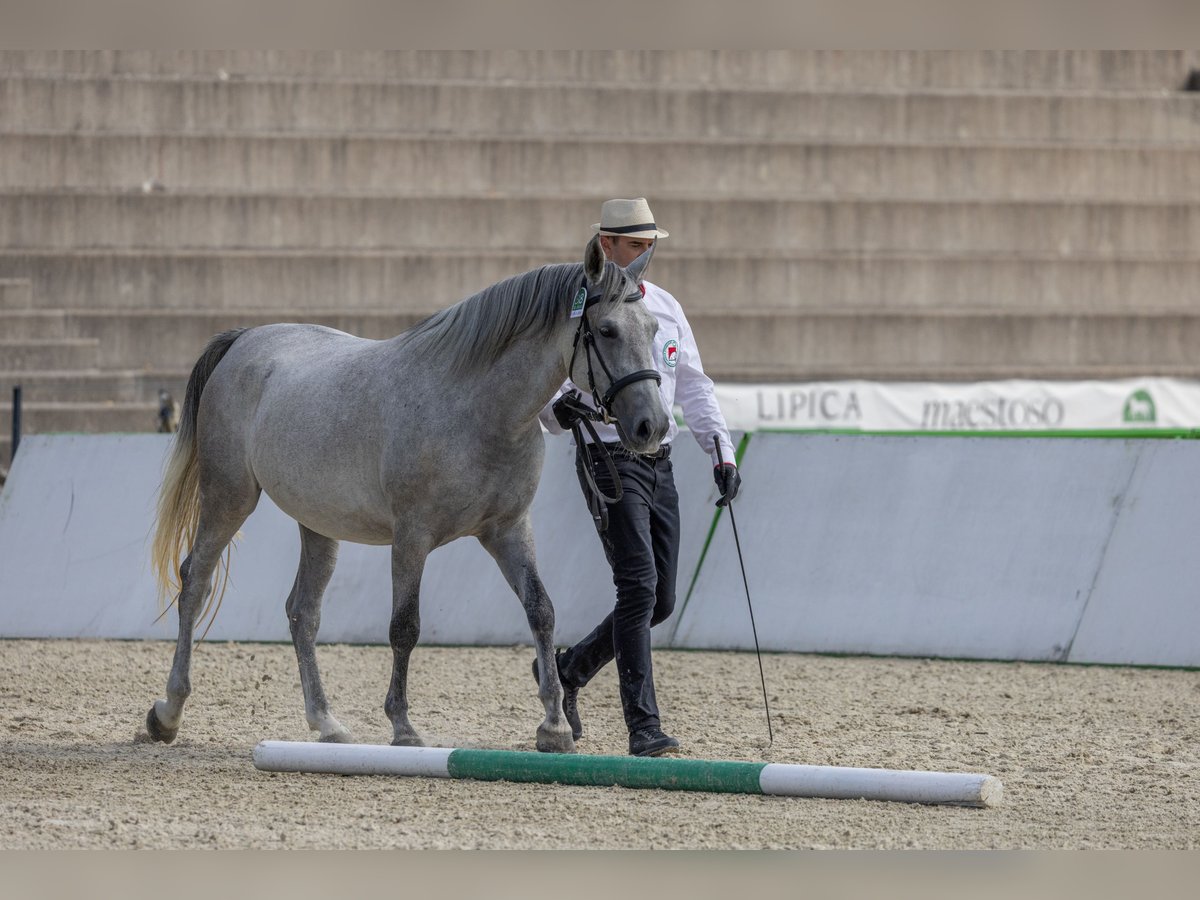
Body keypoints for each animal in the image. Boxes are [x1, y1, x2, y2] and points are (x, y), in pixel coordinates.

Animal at [146, 237, 672, 753]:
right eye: (606, 330)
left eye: (652, 329)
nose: (653, 427)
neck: (477, 409)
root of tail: (245, 340)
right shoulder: (412, 538)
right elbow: (405, 627)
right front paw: (403, 727)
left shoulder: (508, 530)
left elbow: (541, 611)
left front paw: (555, 726)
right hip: (229, 497)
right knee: (195, 582)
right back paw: (168, 713)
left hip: (317, 524)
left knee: (302, 612)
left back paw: (326, 723)